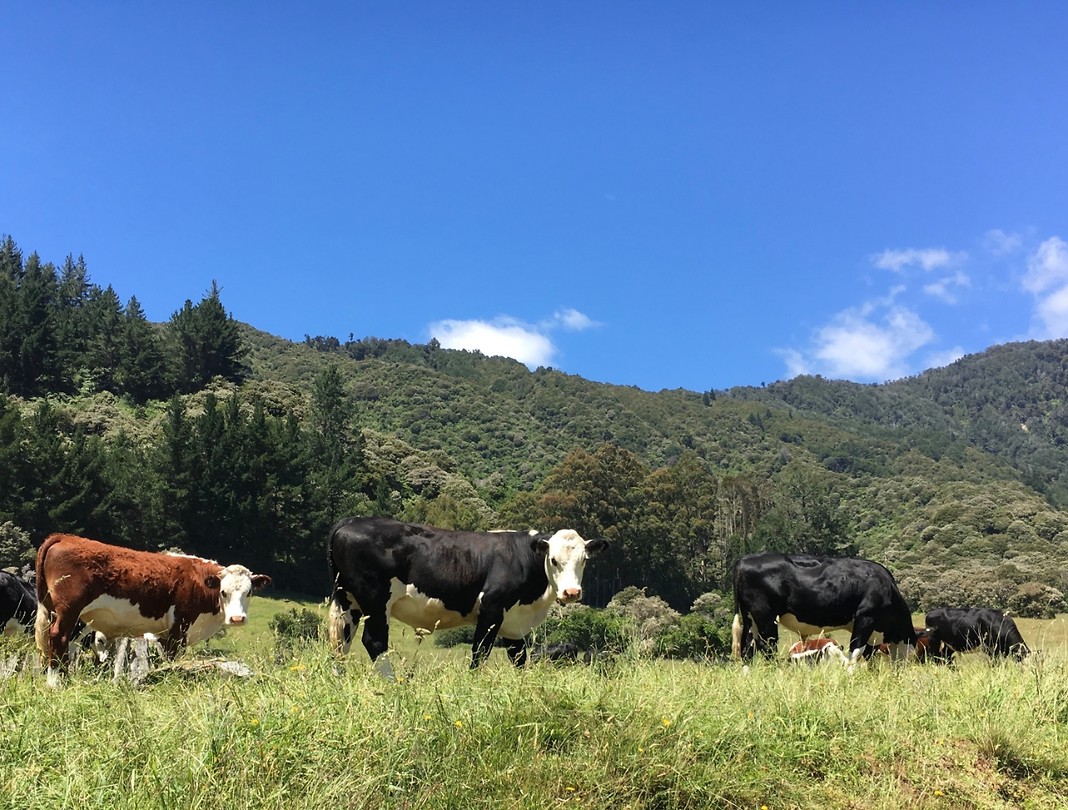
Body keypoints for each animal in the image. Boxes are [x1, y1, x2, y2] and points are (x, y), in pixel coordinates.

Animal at [35, 533, 271, 685]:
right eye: (223, 592)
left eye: (249, 592)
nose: (237, 618)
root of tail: (64, 537)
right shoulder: (179, 627)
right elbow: (173, 657)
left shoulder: (162, 634)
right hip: (68, 610)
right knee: (58, 637)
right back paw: (55, 682)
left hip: (71, 616)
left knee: (67, 644)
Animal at [327, 516, 607, 674]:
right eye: (553, 560)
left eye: (584, 560)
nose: (571, 592)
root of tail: (349, 522)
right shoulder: (492, 608)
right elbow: (479, 653)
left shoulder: (515, 623)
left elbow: (519, 659)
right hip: (375, 601)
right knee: (374, 641)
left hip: (349, 601)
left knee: (340, 643)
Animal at [732, 552, 917, 666]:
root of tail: (743, 560)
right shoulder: (866, 618)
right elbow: (856, 650)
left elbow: (869, 655)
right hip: (765, 616)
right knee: (767, 646)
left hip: (750, 618)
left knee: (747, 646)